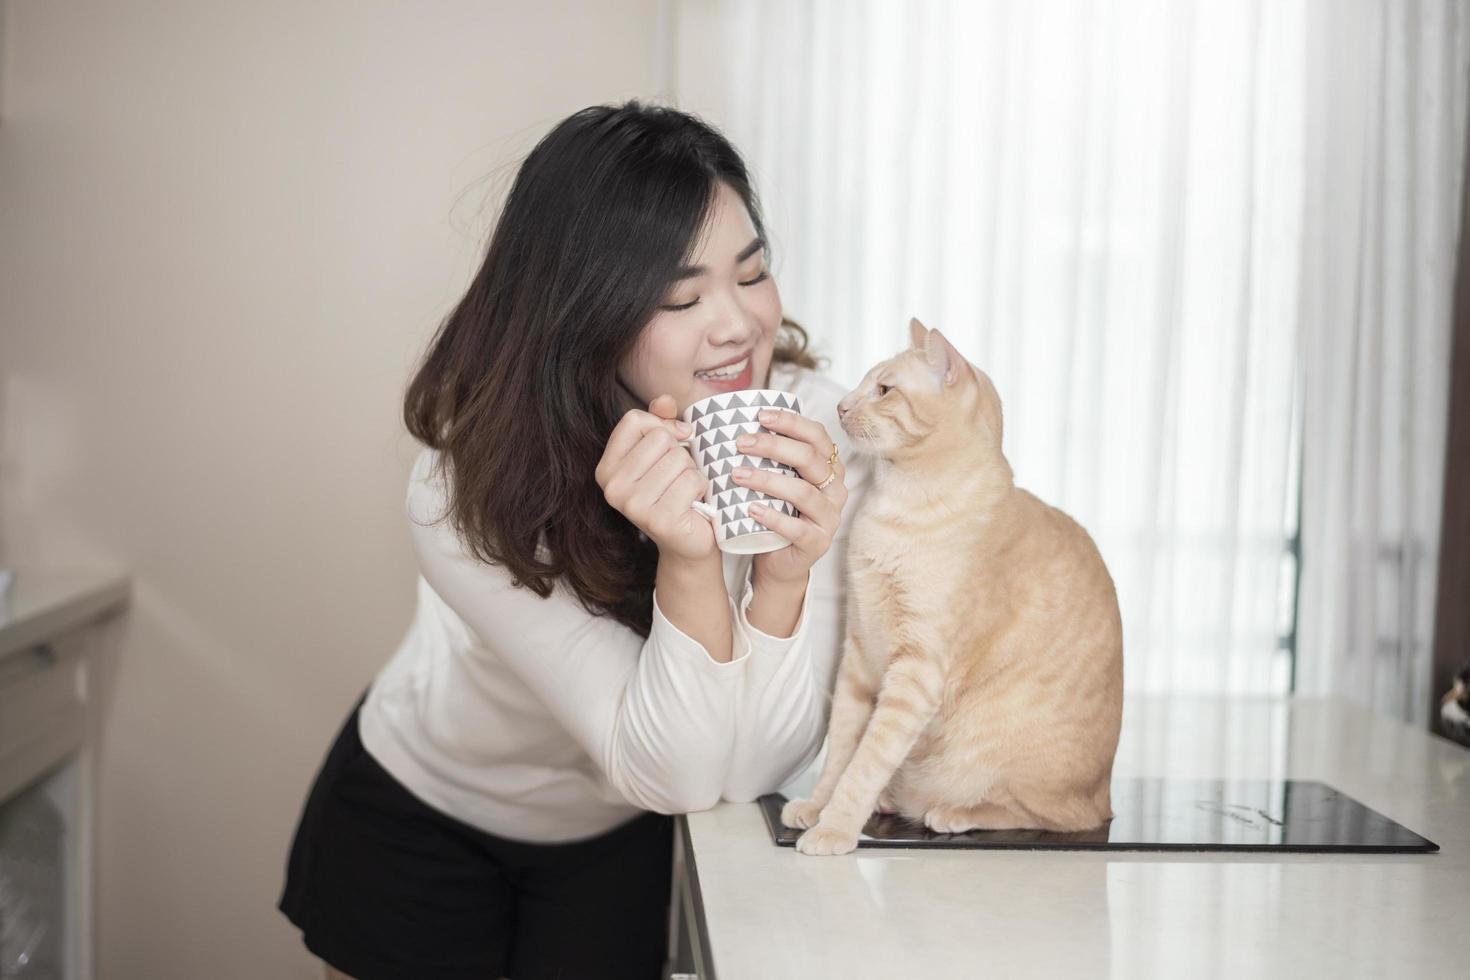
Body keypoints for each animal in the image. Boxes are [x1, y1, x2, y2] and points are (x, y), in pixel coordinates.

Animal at [787, 318, 1117, 852]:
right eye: (861, 383)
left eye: (883, 390)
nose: (841, 406)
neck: (894, 505)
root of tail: (1105, 794)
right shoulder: (858, 654)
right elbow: (841, 751)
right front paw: (818, 807)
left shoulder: (916, 672)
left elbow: (865, 763)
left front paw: (835, 828)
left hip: (1008, 765)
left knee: (1056, 816)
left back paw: (953, 812)